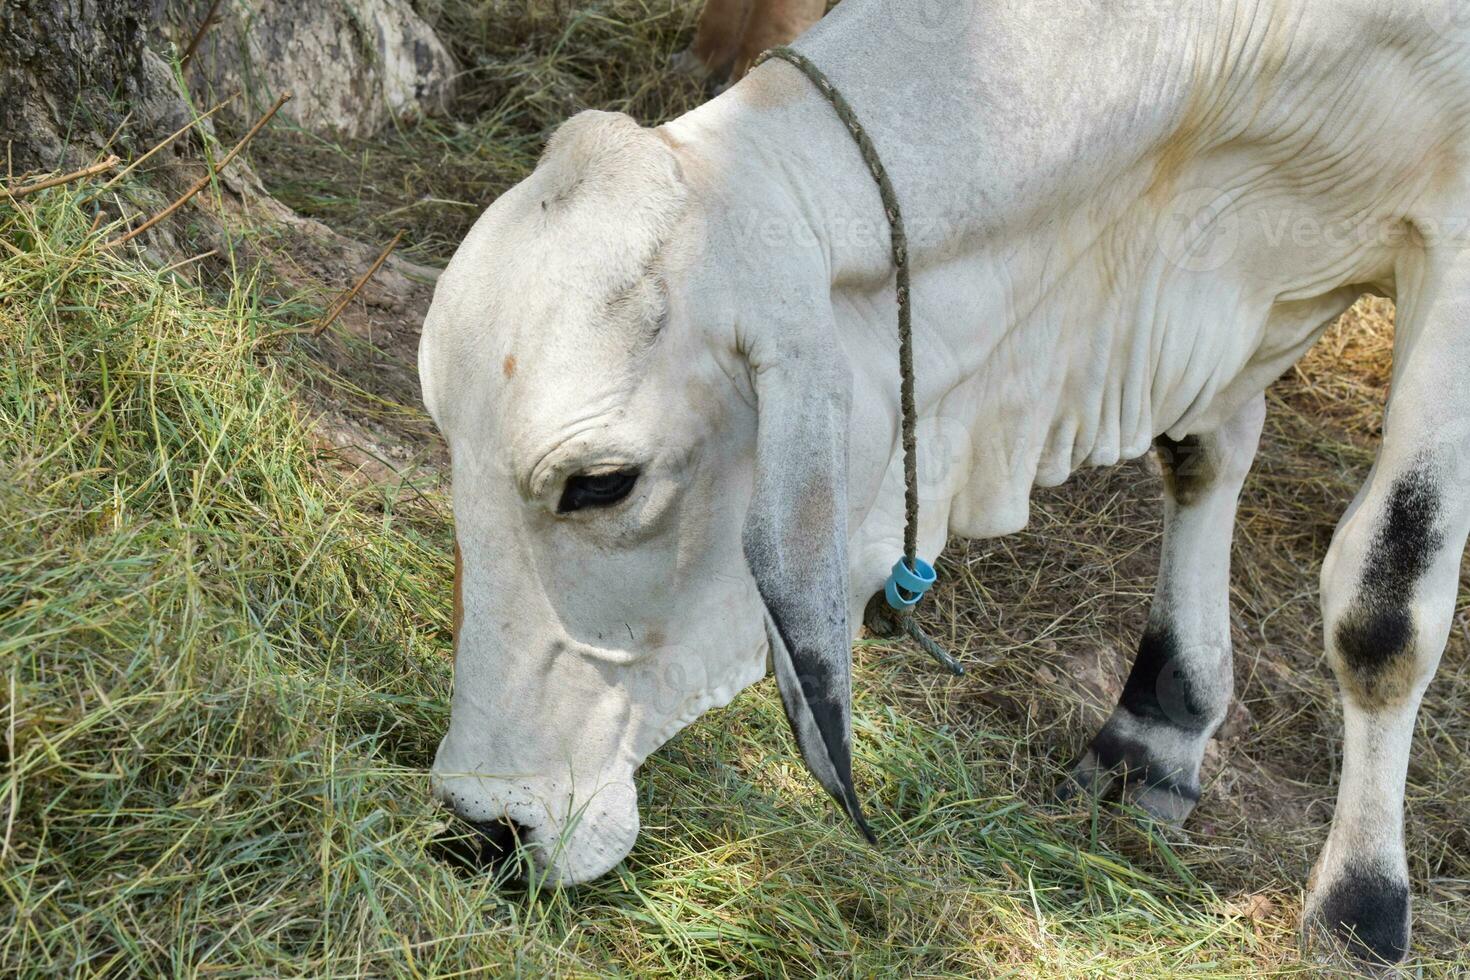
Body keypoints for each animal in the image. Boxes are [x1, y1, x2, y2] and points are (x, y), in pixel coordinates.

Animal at [423, 0, 1470, 963]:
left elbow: (1384, 605)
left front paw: (1361, 908)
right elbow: (1201, 451)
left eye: (602, 483)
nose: (486, 828)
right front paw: (1159, 724)